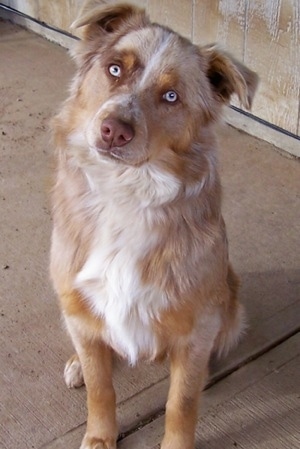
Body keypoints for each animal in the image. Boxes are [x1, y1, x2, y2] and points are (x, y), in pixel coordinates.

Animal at [49, 1, 258, 446]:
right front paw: (99, 437)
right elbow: (101, 388)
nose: (114, 130)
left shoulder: (196, 328)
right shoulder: (77, 301)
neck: (125, 194)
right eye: (114, 68)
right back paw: (77, 363)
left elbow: (181, 402)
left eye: (171, 96)